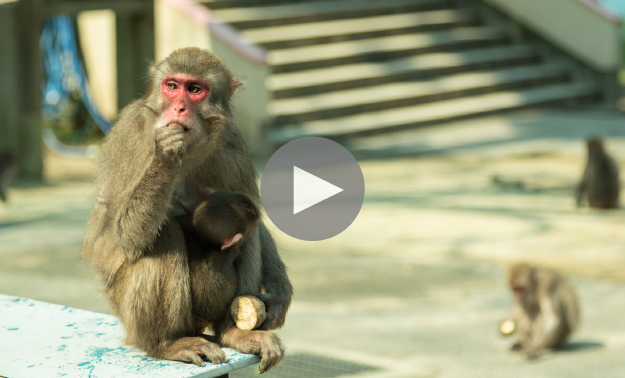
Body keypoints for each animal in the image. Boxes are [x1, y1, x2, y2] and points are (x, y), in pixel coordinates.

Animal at [81, 48, 292, 374]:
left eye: (194, 89)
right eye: (171, 86)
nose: (178, 109)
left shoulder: (231, 142)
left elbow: (255, 217)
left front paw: (280, 295)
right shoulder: (131, 134)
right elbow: (127, 235)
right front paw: (165, 154)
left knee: (248, 230)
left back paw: (232, 332)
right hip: (131, 317)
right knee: (163, 235)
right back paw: (167, 343)